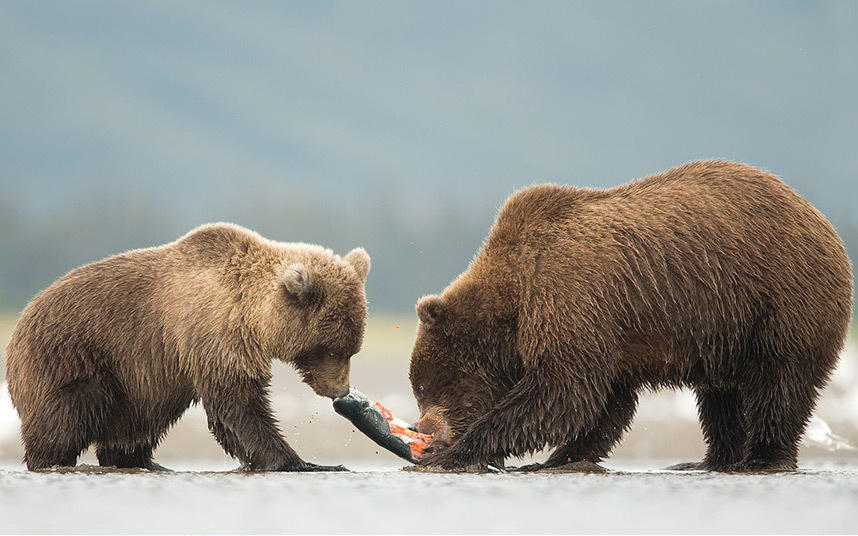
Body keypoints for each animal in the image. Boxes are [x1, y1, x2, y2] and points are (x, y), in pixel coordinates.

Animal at [6, 224, 370, 472]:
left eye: (352, 349)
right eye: (333, 349)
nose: (340, 389)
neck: (252, 317)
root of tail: (19, 325)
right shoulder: (215, 335)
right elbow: (237, 405)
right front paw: (303, 462)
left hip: (133, 381)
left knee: (134, 424)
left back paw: (148, 463)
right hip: (72, 357)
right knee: (64, 420)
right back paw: (50, 461)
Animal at [408, 160, 848, 474]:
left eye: (426, 385)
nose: (422, 429)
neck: (515, 302)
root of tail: (819, 218)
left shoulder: (569, 296)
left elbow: (563, 391)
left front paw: (453, 454)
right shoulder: (608, 331)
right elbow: (603, 404)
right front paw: (561, 458)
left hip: (780, 299)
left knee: (779, 382)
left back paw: (762, 458)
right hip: (726, 331)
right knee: (720, 396)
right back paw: (709, 459)